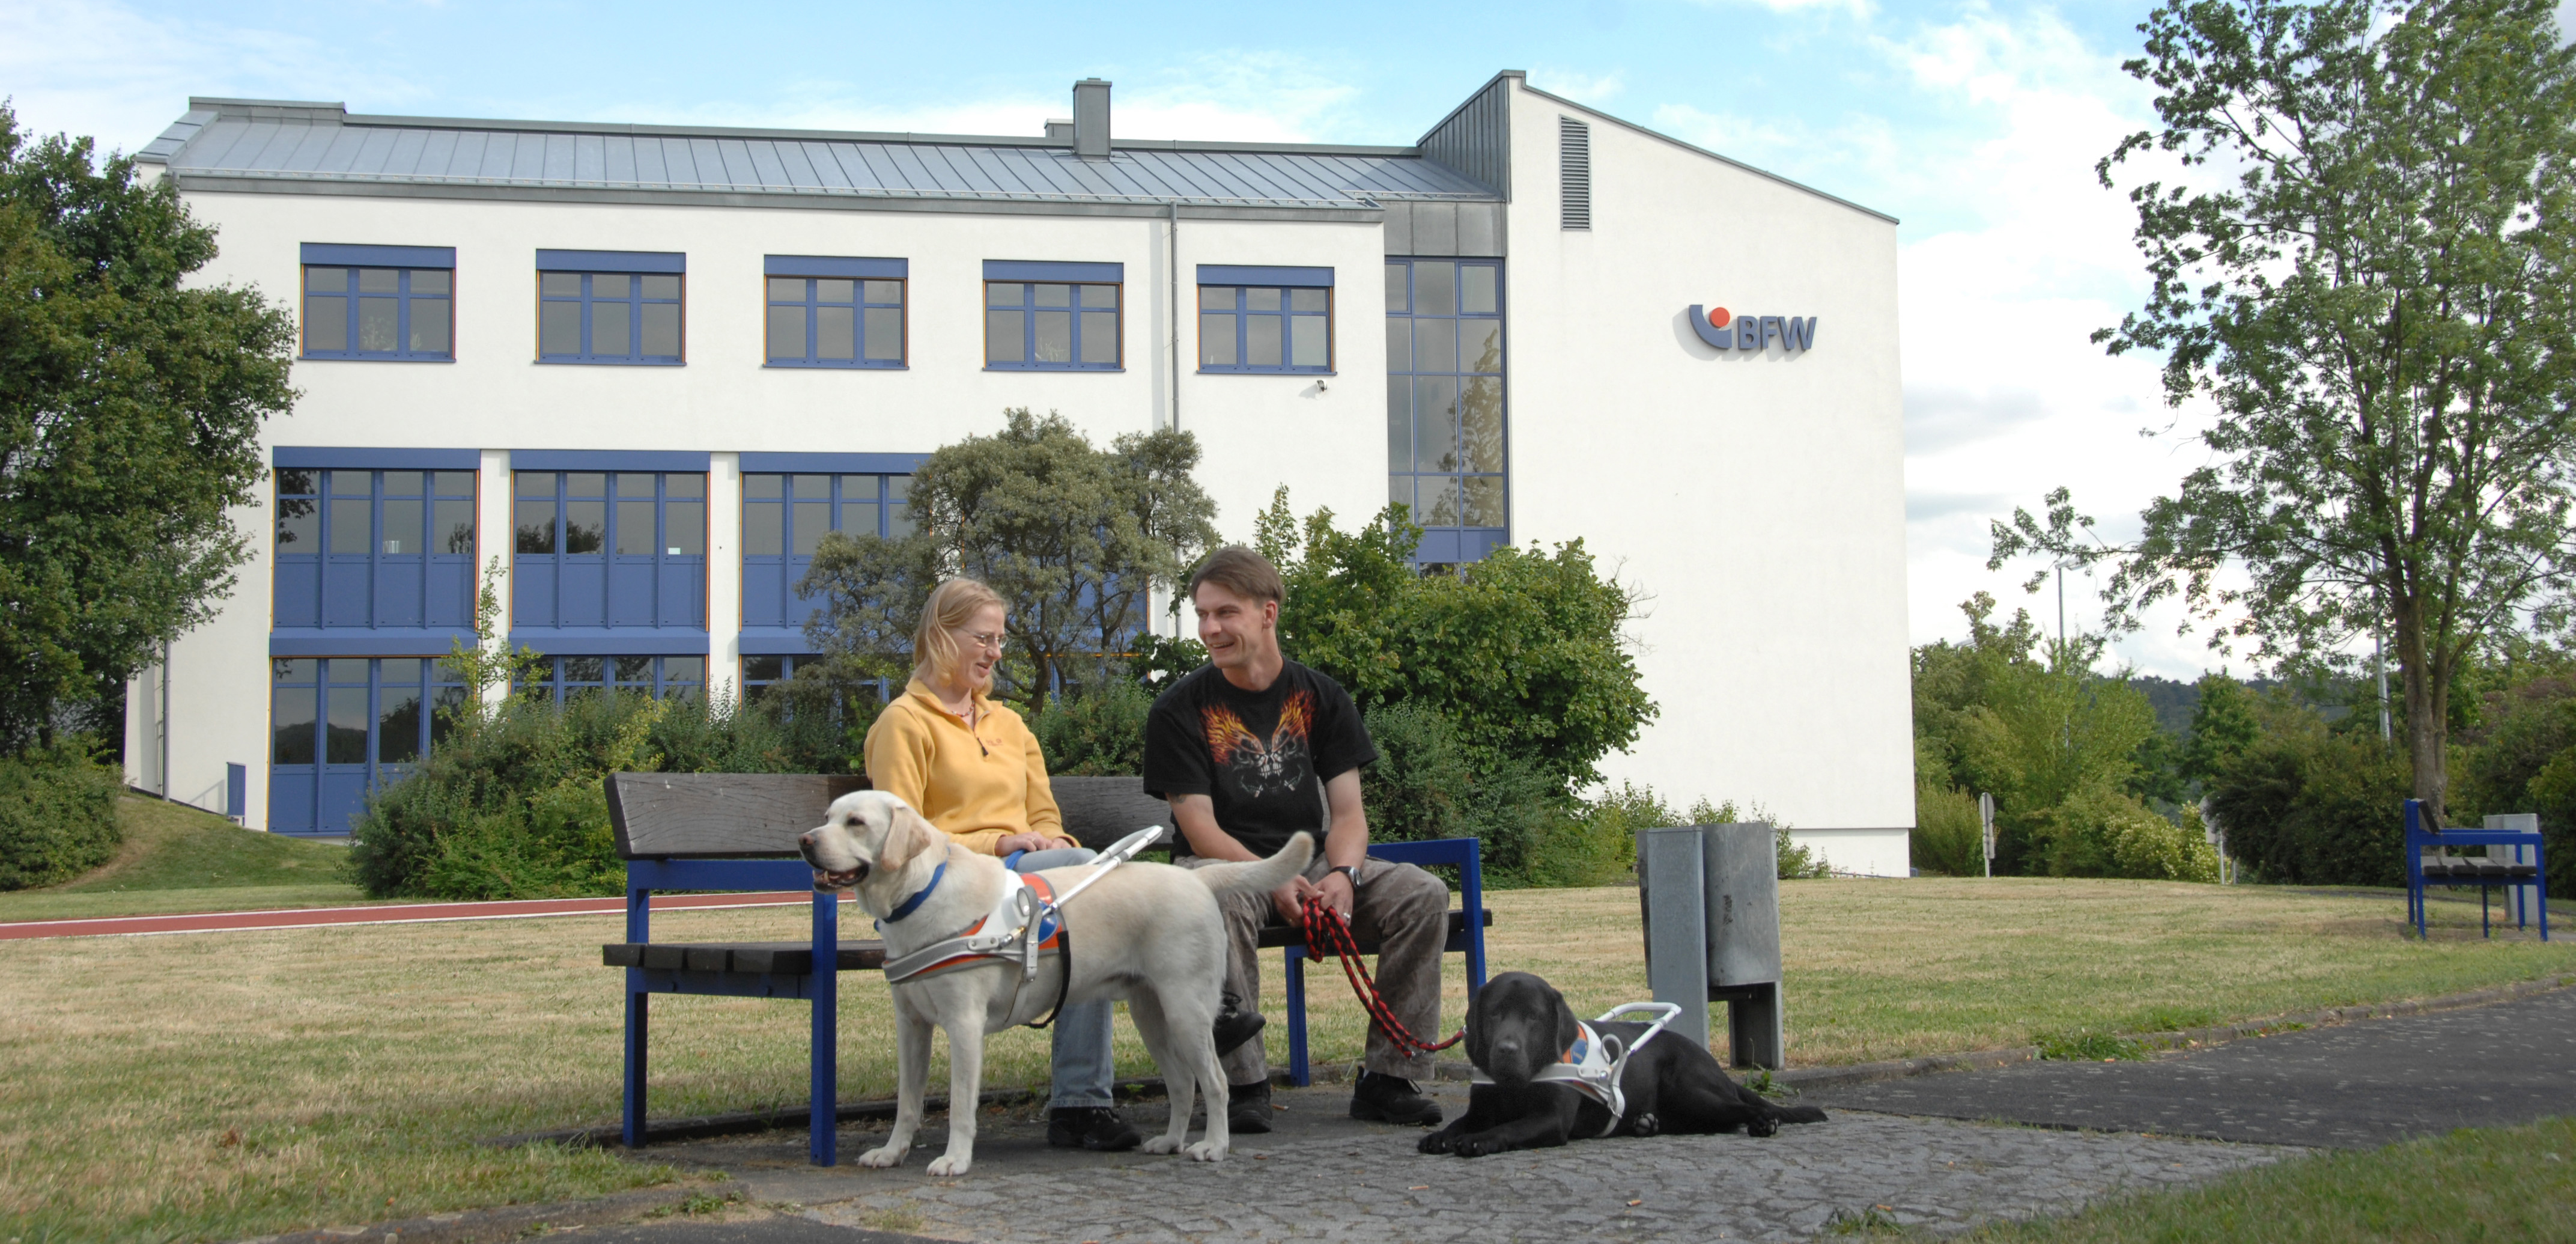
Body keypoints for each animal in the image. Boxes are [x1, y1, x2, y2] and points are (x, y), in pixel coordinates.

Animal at [793, 793, 1308, 1174]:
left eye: (856, 822)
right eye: (827, 818)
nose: (804, 840)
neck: (921, 893)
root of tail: (1198, 880)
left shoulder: (963, 1025)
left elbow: (960, 1106)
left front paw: (955, 1160)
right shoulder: (911, 1026)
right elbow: (907, 1101)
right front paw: (892, 1152)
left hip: (1187, 1010)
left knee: (1216, 1082)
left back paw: (1214, 1147)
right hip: (1152, 1015)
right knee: (1183, 1083)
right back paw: (1170, 1142)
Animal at [1421, 974, 1823, 1159]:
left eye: (1534, 1017)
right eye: (1494, 1014)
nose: (1506, 1049)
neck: (1516, 1083)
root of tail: (1707, 1056)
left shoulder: (1551, 1119)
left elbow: (1510, 1127)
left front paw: (1478, 1140)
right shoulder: (1481, 1109)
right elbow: (1460, 1122)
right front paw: (1442, 1136)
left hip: (1689, 1087)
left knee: (1740, 1109)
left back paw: (1763, 1122)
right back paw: (1646, 1124)